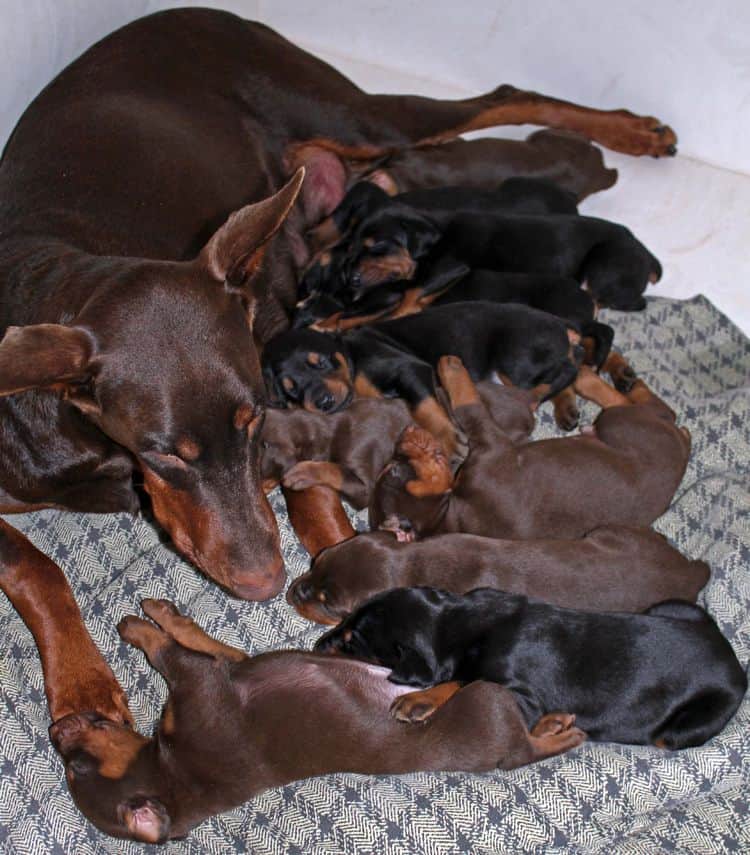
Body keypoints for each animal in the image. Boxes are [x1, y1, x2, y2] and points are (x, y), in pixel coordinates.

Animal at [51, 600, 588, 844]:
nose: (55, 730)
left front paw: (148, 617)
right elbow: (167, 649)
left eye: (72, 768)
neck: (169, 773)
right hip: (488, 704)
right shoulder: (201, 681)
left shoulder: (219, 668)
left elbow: (186, 638)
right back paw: (560, 727)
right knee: (514, 738)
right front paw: (143, 629)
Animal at [314, 588, 748, 748]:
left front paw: (417, 701)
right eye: (346, 620)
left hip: (681, 728)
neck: (455, 622)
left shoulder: (521, 693)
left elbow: (464, 681)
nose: (317, 645)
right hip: (673, 607)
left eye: (353, 641)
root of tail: (732, 661)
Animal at [370, 356, 692, 540]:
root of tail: (683, 443)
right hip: (624, 421)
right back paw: (593, 378)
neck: (450, 514)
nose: (405, 431)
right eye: (394, 469)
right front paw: (452, 368)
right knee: (655, 409)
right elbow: (468, 404)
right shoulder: (489, 440)